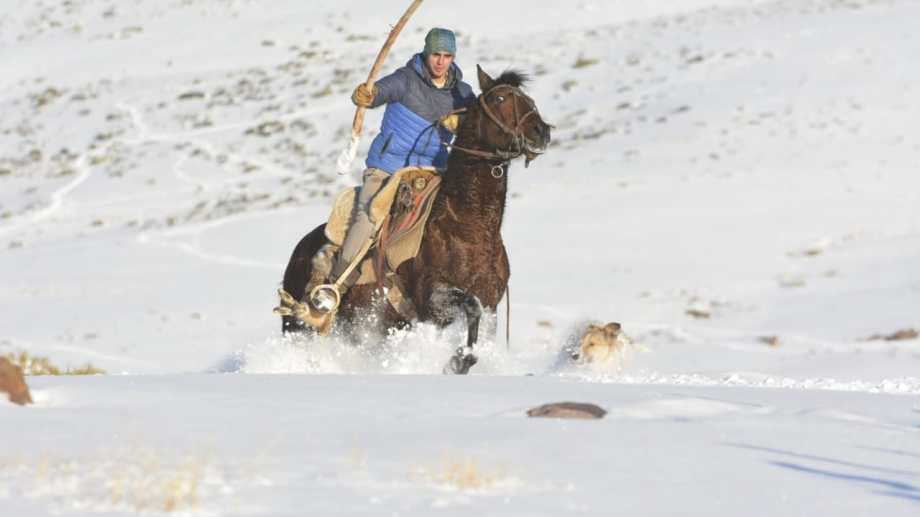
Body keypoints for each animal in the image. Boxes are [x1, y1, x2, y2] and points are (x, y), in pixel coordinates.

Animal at [279, 65, 552, 374]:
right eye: (500, 98)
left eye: (527, 98)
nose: (542, 131)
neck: (468, 227)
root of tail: (300, 249)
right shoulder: (432, 299)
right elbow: (470, 305)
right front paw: (457, 360)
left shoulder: (491, 303)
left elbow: (478, 326)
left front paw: (462, 360)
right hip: (297, 329)